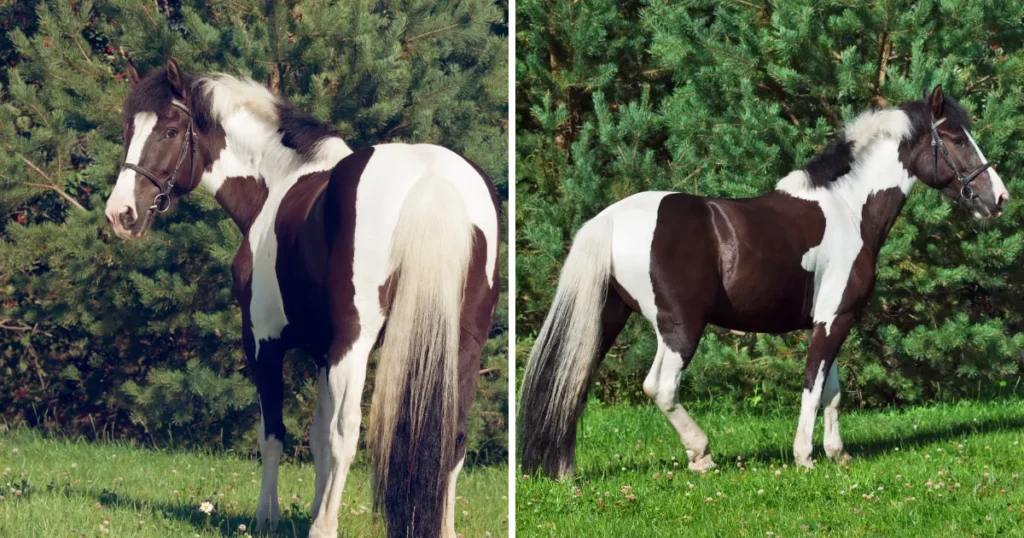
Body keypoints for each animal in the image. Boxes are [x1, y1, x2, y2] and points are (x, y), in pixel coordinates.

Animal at [103, 58, 499, 536]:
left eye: (170, 131)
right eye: (130, 129)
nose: (120, 214)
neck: (278, 184)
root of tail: (430, 178)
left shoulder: (264, 342)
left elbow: (276, 433)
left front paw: (267, 517)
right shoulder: (323, 352)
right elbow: (317, 436)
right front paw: (311, 505)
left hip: (357, 341)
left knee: (349, 431)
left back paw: (324, 527)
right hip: (462, 344)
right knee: (453, 437)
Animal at [520, 86, 1007, 475]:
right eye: (956, 138)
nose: (999, 199)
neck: (849, 210)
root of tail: (609, 218)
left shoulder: (830, 320)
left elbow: (832, 390)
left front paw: (837, 453)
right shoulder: (835, 319)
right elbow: (813, 385)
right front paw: (805, 456)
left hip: (608, 318)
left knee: (573, 385)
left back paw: (564, 468)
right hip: (680, 328)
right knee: (660, 387)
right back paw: (702, 456)